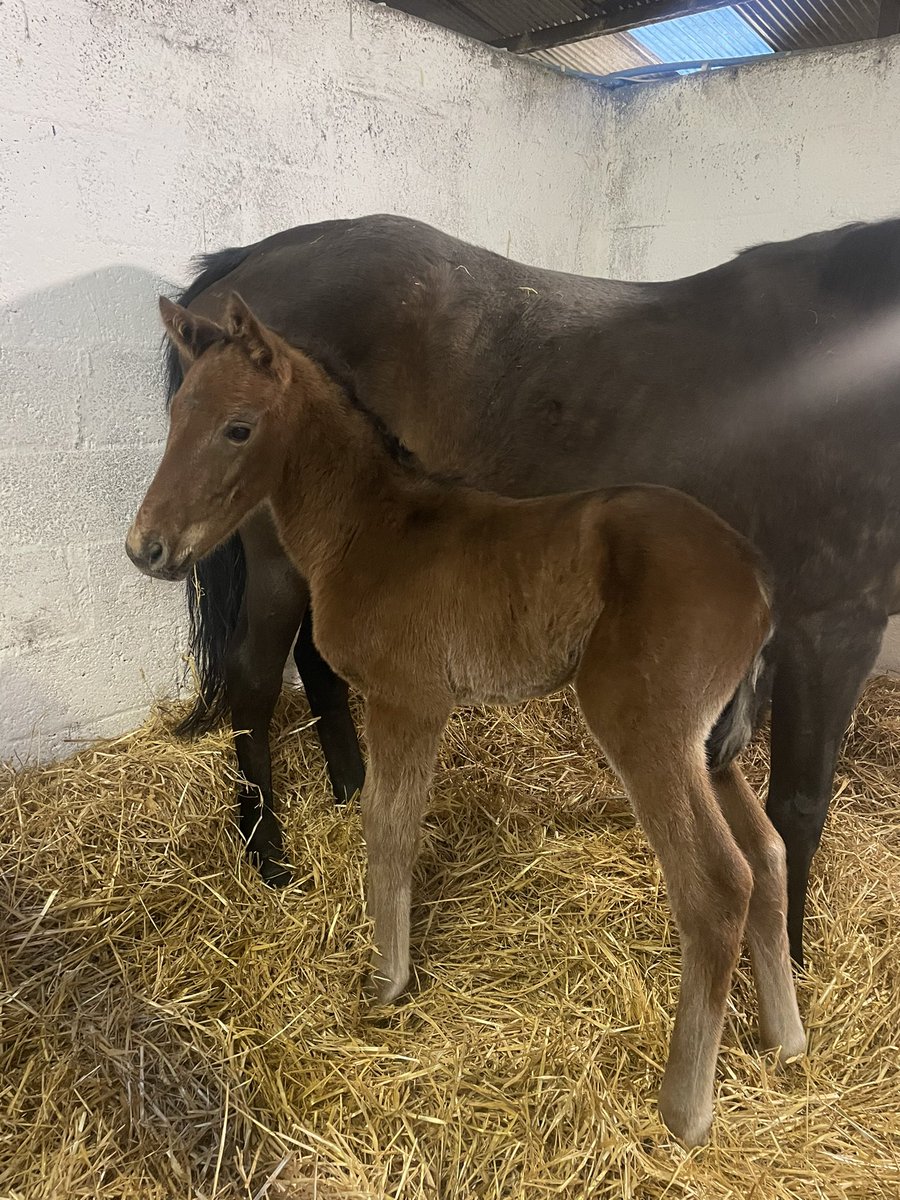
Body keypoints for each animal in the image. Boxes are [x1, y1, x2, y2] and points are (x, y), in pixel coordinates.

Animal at [128, 294, 806, 1147]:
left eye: (239, 428)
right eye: (178, 411)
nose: (146, 547)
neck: (370, 528)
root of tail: (756, 576)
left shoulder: (408, 699)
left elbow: (387, 830)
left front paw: (387, 983)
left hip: (646, 731)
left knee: (716, 887)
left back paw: (683, 1111)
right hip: (710, 747)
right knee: (770, 854)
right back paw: (787, 1040)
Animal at [166, 213, 900, 967]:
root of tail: (254, 257)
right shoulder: (836, 625)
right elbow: (799, 804)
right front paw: (789, 957)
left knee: (313, 662)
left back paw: (350, 787)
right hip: (277, 559)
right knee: (253, 679)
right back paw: (267, 851)